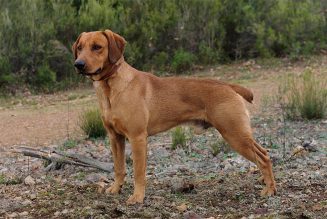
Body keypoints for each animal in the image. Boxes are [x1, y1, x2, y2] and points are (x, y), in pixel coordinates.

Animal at [72, 30, 276, 204]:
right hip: (239, 134)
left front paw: (137, 197)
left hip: (235, 134)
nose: (78, 65)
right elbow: (119, 168)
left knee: (263, 158)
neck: (111, 88)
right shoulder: (115, 138)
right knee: (263, 154)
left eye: (97, 47)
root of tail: (228, 86)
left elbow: (138, 172)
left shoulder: (137, 138)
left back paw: (270, 190)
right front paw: (116, 189)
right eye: (80, 47)